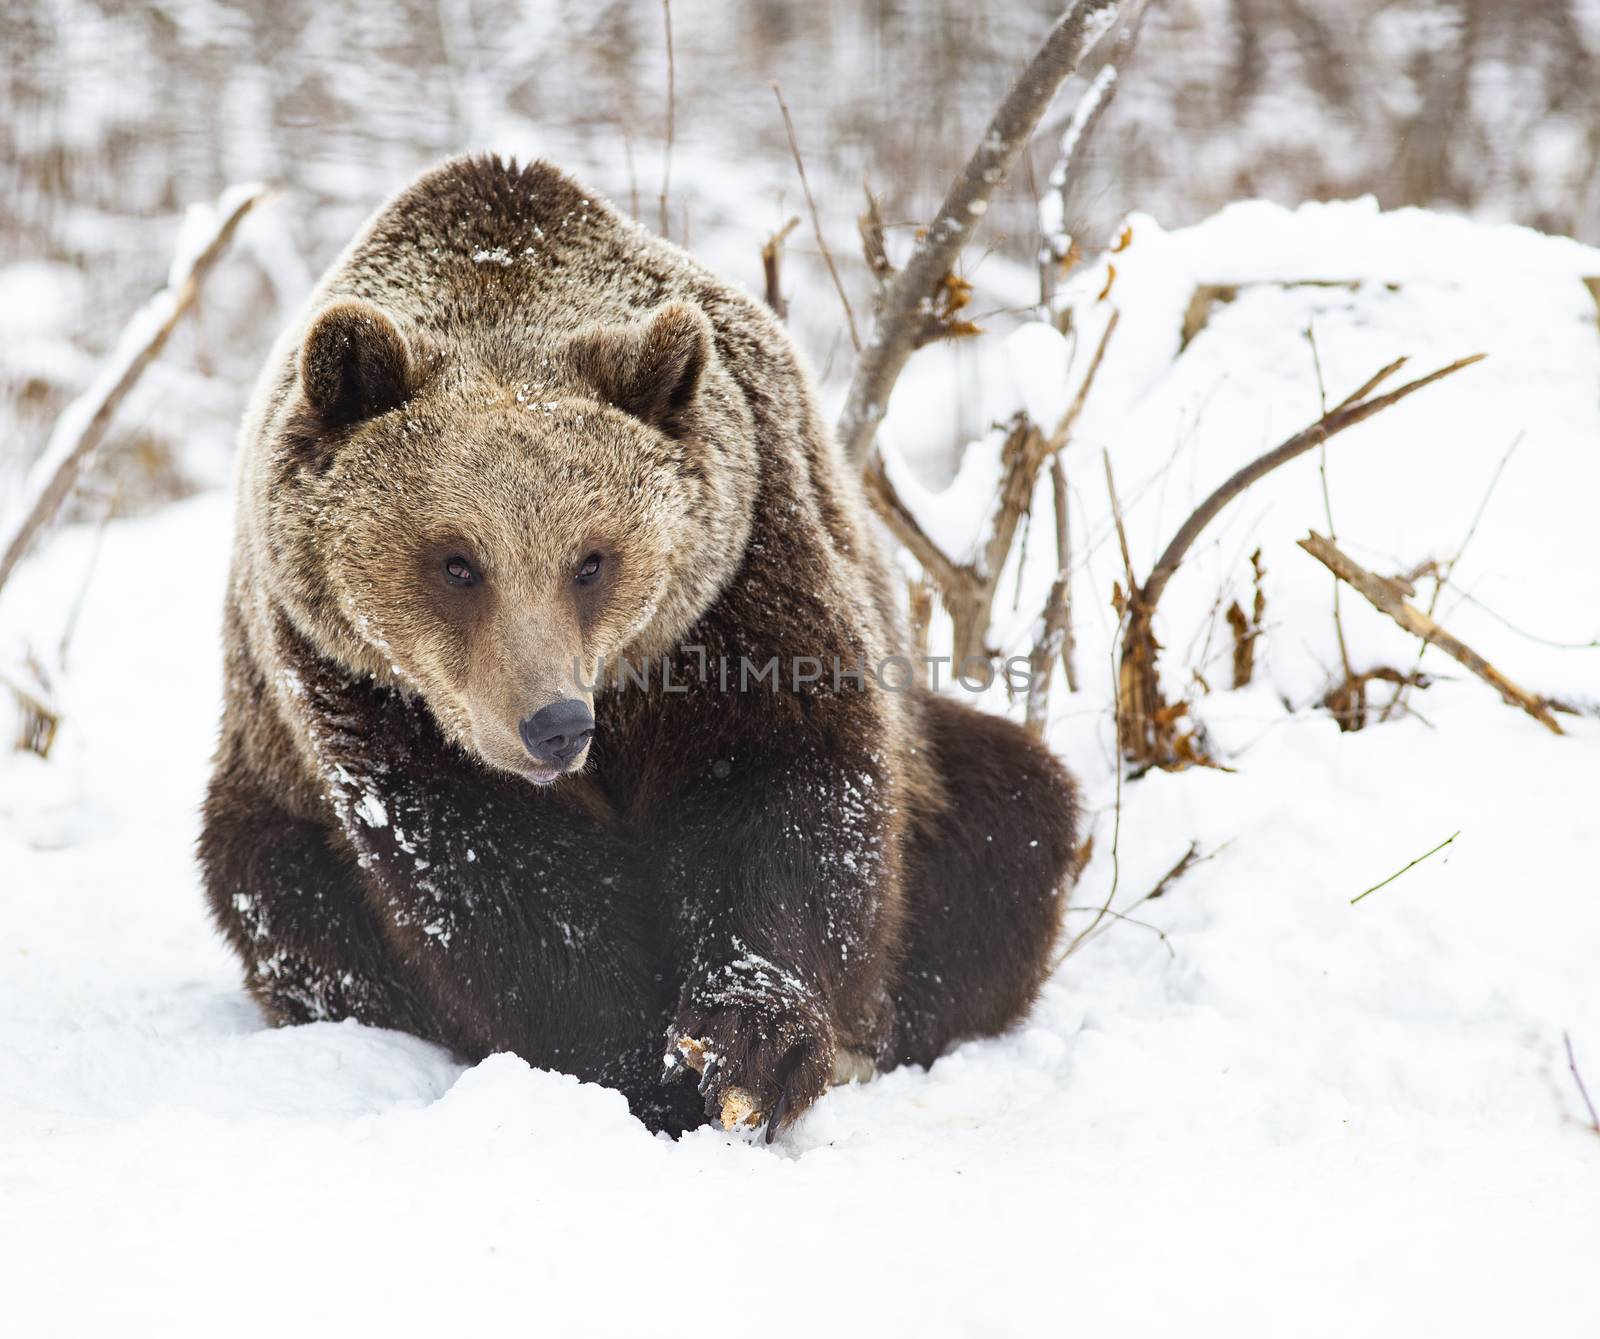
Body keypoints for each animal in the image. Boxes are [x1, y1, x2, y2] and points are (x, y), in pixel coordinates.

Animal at [196, 156, 1075, 1139]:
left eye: (592, 559)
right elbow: (495, 882)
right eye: (457, 562)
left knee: (1012, 822)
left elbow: (779, 784)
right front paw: (636, 1072)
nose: (554, 724)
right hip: (271, 803)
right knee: (284, 904)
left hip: (938, 768)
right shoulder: (362, 688)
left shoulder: (736, 578)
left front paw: (754, 1046)